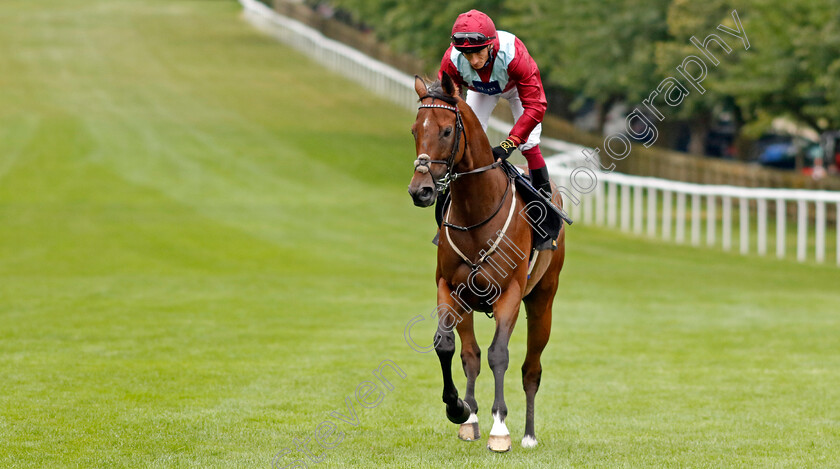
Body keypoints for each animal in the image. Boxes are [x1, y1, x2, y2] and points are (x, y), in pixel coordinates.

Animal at [406, 72, 564, 450]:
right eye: (415, 130)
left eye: (447, 130)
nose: (420, 190)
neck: (476, 211)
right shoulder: (451, 288)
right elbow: (451, 347)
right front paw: (460, 410)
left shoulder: (509, 293)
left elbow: (499, 354)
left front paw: (500, 429)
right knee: (472, 356)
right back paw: (472, 419)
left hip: (543, 301)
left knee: (531, 368)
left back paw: (529, 434)